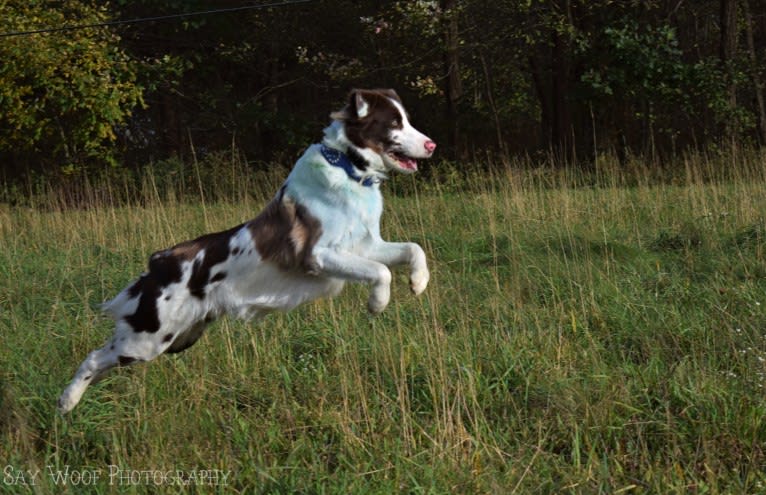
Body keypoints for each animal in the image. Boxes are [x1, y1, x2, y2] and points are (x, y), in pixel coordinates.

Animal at [57, 89, 436, 414]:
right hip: (149, 339)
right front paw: (377, 304)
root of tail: (158, 263)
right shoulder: (319, 255)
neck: (349, 169)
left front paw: (418, 282)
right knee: (93, 358)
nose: (431, 144)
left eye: (406, 119)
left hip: (176, 339)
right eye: (394, 123)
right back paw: (65, 401)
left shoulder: (367, 245)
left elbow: (412, 248)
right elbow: (381, 272)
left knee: (106, 362)